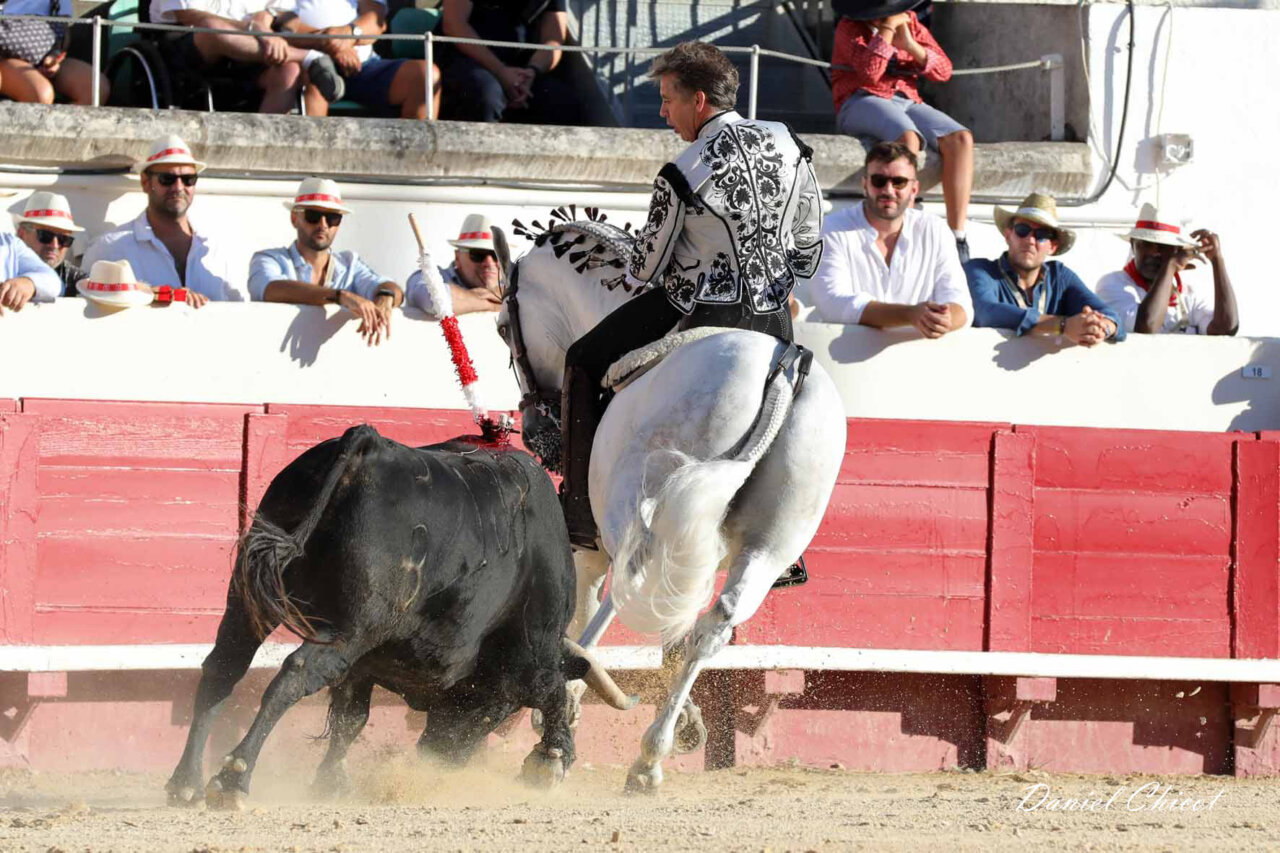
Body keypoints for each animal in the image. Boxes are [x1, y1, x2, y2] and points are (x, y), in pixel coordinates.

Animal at [165, 424, 637, 810]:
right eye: (495, 712)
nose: (437, 756)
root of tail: (368, 446)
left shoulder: (365, 661)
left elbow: (351, 716)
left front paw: (332, 782)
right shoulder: (534, 648)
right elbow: (553, 690)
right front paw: (551, 760)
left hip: (249, 600)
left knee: (223, 666)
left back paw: (186, 782)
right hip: (348, 627)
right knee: (294, 674)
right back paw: (232, 780)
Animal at [496, 213, 846, 792]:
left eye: (504, 325)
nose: (532, 429)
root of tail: (783, 364)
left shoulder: (589, 548)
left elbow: (589, 605)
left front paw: (558, 726)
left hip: (640, 506)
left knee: (636, 588)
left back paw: (577, 734)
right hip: (770, 541)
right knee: (714, 621)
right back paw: (651, 754)